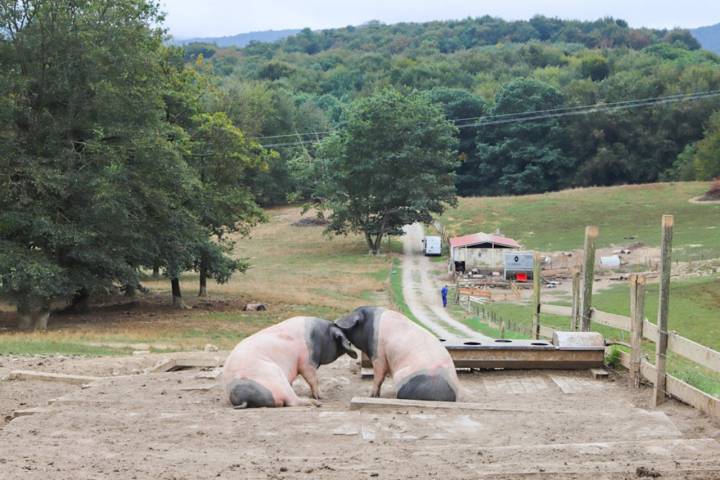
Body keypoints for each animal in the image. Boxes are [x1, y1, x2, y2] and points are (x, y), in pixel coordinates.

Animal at [219, 316, 354, 406]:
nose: (350, 344)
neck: (320, 337)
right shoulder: (307, 362)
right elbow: (313, 379)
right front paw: (321, 397)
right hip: (274, 375)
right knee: (292, 401)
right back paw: (315, 403)